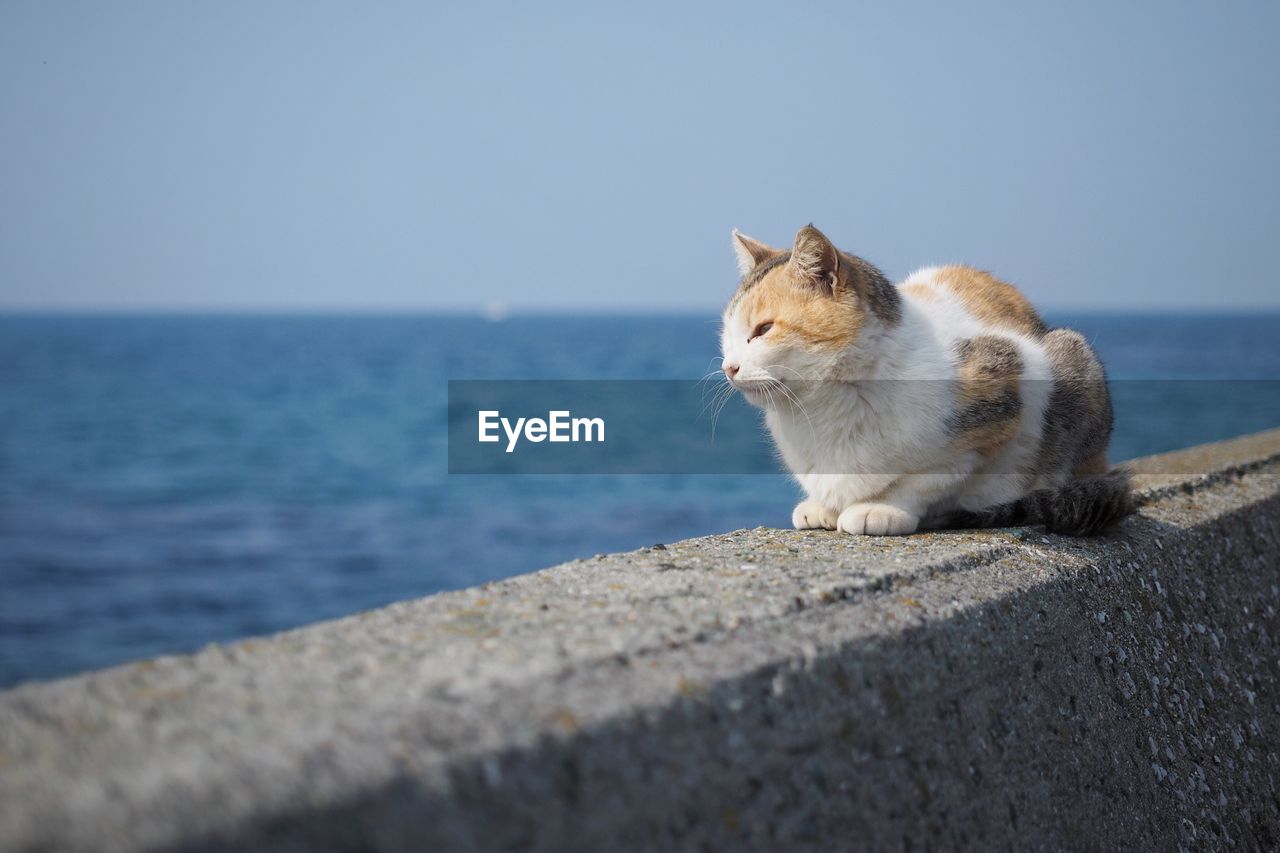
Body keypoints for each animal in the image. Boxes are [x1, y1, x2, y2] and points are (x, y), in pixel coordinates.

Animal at [721, 222, 1131, 535]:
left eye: (763, 330)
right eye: (728, 334)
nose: (729, 366)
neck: (825, 406)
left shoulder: (1003, 395)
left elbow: (929, 478)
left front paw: (880, 509)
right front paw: (824, 506)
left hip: (1072, 357)